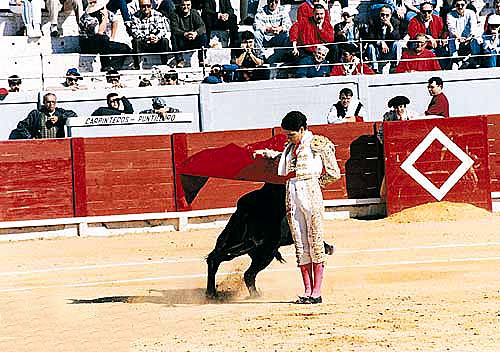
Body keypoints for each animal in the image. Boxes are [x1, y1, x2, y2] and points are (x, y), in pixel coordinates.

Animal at [205, 183, 334, 298]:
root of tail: (246, 212)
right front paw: (327, 248)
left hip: (232, 242)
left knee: (214, 259)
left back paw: (211, 294)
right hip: (265, 254)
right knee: (248, 274)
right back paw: (255, 295)